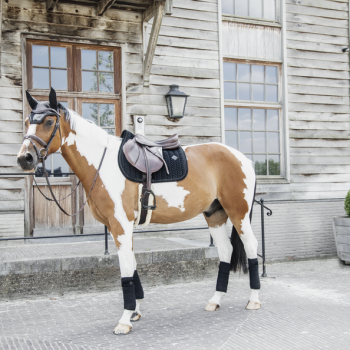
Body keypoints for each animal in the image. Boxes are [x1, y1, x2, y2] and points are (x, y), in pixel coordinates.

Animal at [17, 89, 262, 334]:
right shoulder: (118, 227)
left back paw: (254, 300)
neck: (103, 164)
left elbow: (126, 268)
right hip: (215, 215)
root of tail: (244, 159)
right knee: (225, 251)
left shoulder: (121, 225)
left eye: (49, 122)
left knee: (250, 246)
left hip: (238, 213)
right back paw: (215, 300)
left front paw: (124, 320)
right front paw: (135, 311)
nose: (24, 158)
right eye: (28, 121)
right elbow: (132, 265)